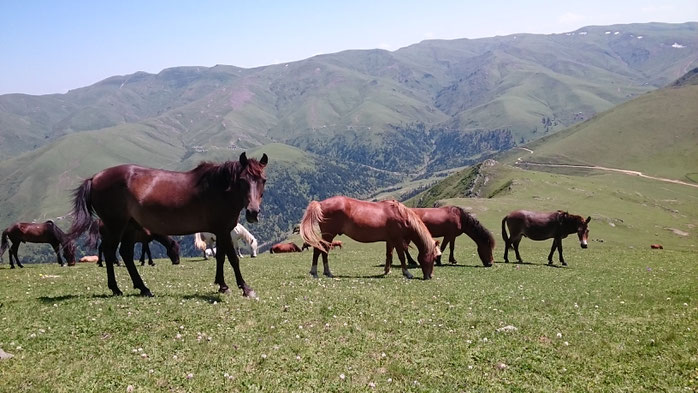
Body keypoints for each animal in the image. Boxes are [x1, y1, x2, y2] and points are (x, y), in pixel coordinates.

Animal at [66, 152, 266, 296]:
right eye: (243, 180)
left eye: (263, 180)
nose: (253, 212)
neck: (219, 188)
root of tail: (95, 178)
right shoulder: (223, 231)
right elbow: (232, 259)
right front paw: (245, 288)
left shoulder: (220, 231)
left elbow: (221, 257)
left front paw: (222, 285)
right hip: (116, 226)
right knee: (109, 252)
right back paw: (116, 288)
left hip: (129, 228)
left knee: (126, 254)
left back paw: (143, 288)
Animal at [298, 196, 438, 278]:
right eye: (433, 257)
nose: (430, 276)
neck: (401, 215)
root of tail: (321, 203)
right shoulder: (398, 239)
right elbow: (401, 256)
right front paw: (407, 273)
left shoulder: (390, 240)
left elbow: (389, 255)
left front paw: (387, 271)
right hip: (329, 234)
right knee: (319, 250)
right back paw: (316, 272)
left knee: (324, 251)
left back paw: (327, 272)